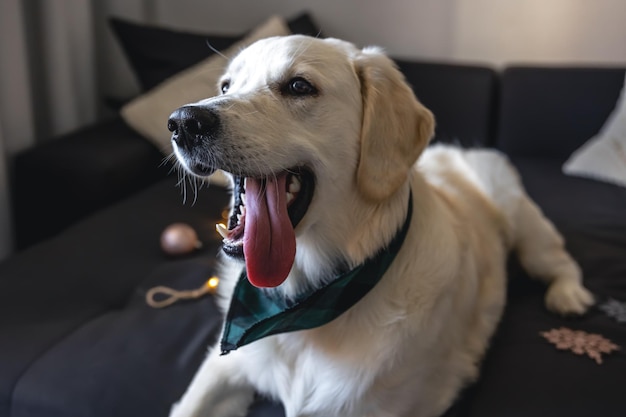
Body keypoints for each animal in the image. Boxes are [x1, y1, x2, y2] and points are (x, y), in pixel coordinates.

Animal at [165, 35, 588, 416]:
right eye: (225, 86)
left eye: (299, 86)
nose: (184, 122)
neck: (305, 298)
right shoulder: (224, 366)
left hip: (525, 226)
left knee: (561, 260)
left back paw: (569, 295)